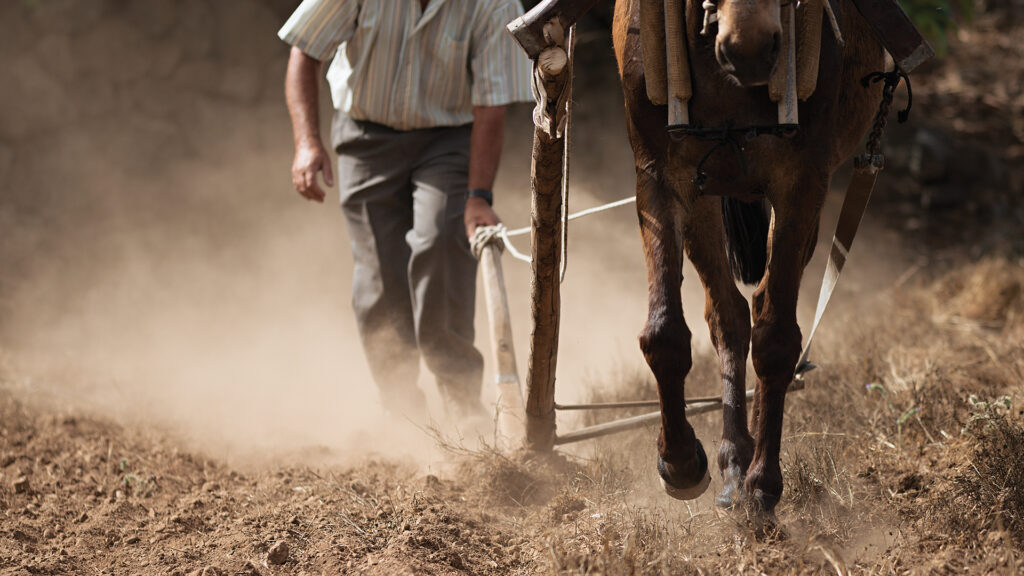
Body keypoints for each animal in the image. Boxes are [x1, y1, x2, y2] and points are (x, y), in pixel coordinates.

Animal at [611, 0, 884, 516]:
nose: (750, 46)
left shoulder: (803, 182)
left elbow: (776, 339)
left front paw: (763, 483)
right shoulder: (659, 173)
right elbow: (664, 333)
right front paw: (679, 461)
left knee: (756, 307)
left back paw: (747, 461)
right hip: (706, 194)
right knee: (728, 315)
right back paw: (733, 455)